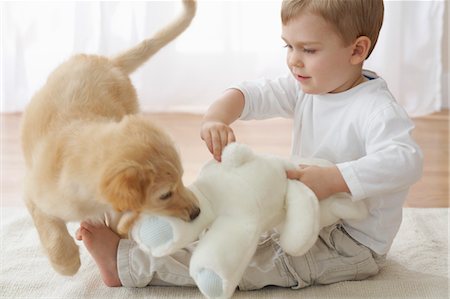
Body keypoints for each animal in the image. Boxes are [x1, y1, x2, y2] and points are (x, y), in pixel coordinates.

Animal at [19, 0, 199, 278]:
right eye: (165, 195)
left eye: (182, 180)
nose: (197, 212)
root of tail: (108, 61)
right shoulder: (33, 194)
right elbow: (50, 229)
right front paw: (67, 262)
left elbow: (118, 224)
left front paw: (114, 238)